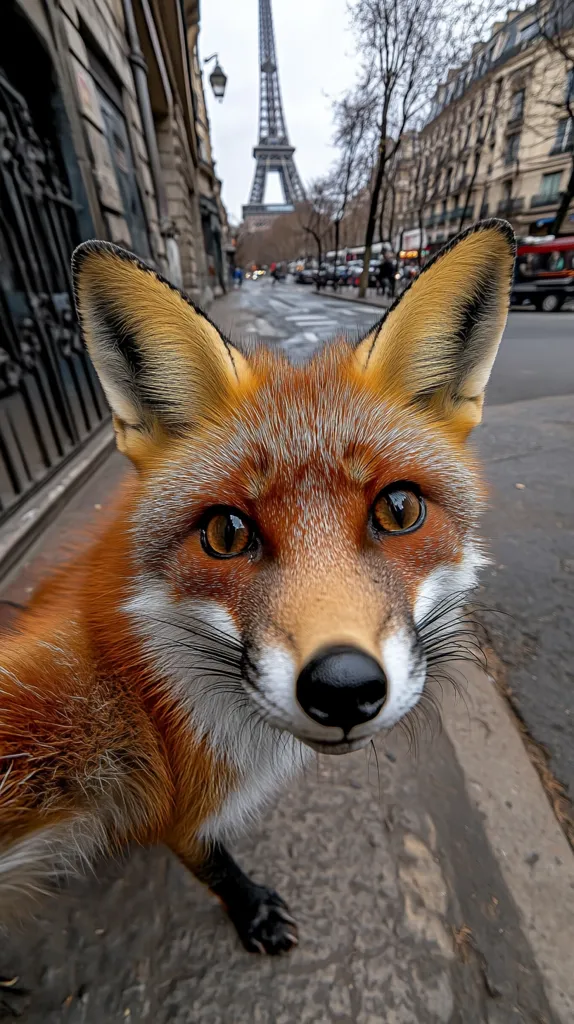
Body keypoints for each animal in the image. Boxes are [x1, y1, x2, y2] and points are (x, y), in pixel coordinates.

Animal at [0, 219, 514, 958]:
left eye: (398, 510)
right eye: (226, 532)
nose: (343, 688)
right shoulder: (171, 800)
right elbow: (214, 862)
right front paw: (252, 912)